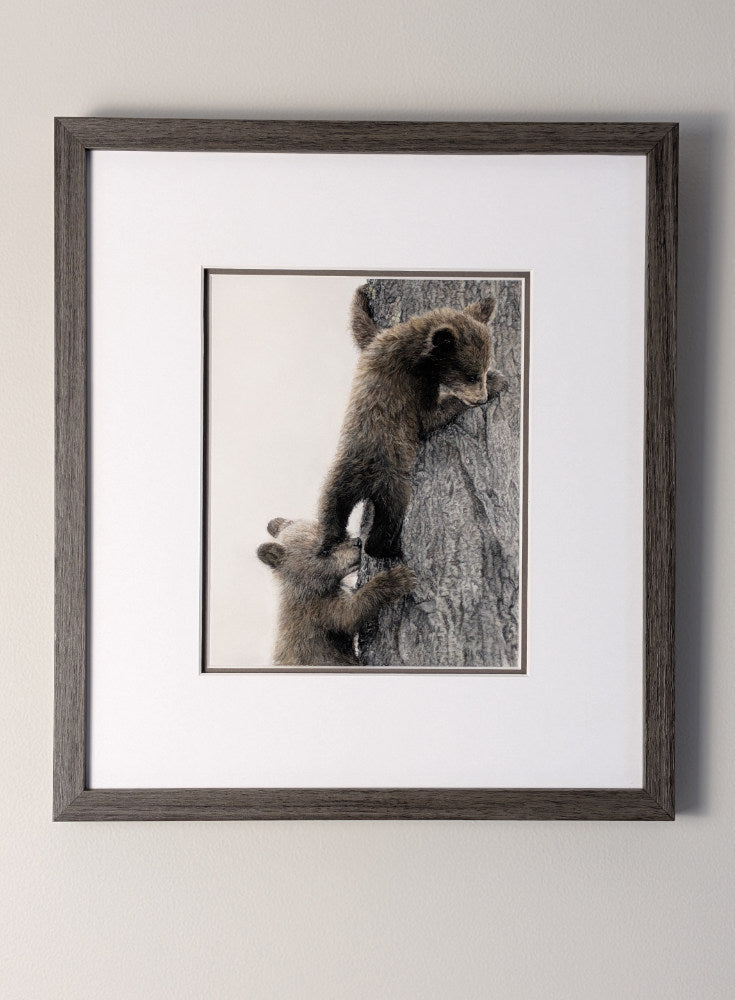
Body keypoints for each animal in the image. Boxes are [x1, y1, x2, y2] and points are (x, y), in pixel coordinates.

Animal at [257, 516, 415, 666]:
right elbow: (350, 615)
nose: (358, 542)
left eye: (340, 536)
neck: (311, 586)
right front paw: (396, 579)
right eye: (325, 550)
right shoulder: (318, 610)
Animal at [318, 285, 507, 560]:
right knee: (390, 516)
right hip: (392, 483)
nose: (480, 398)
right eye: (472, 375)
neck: (415, 350)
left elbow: (362, 329)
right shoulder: (413, 383)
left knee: (330, 514)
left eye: (481, 369)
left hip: (337, 482)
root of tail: (363, 481)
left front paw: (361, 295)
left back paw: (329, 543)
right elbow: (429, 416)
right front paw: (497, 381)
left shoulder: (377, 343)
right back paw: (388, 549)